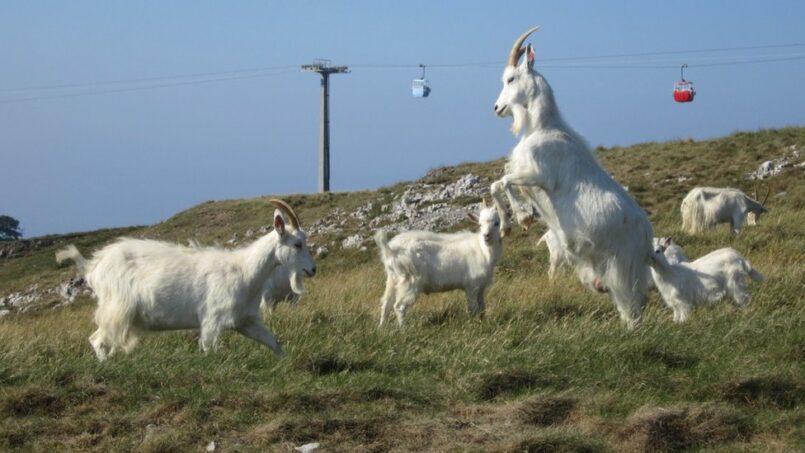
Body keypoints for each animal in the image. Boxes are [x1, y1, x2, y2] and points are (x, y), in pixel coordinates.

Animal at [55, 198, 314, 360]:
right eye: (297, 244)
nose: (312, 269)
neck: (244, 270)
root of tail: (94, 266)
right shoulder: (211, 321)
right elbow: (209, 351)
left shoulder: (246, 321)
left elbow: (273, 342)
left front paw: (286, 364)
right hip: (117, 308)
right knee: (97, 340)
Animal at [372, 205, 500, 324]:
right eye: (480, 224)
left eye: (497, 223)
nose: (486, 236)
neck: (482, 249)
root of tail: (390, 250)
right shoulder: (471, 286)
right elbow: (474, 308)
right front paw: (475, 324)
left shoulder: (481, 288)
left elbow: (482, 308)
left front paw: (482, 321)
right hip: (410, 281)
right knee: (399, 307)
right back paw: (404, 329)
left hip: (393, 280)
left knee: (386, 304)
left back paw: (382, 328)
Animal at [486, 26, 656, 326]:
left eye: (510, 78)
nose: (497, 108)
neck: (543, 127)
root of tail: (647, 237)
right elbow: (497, 183)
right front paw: (509, 223)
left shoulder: (539, 175)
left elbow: (504, 182)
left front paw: (520, 218)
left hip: (622, 267)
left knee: (632, 305)